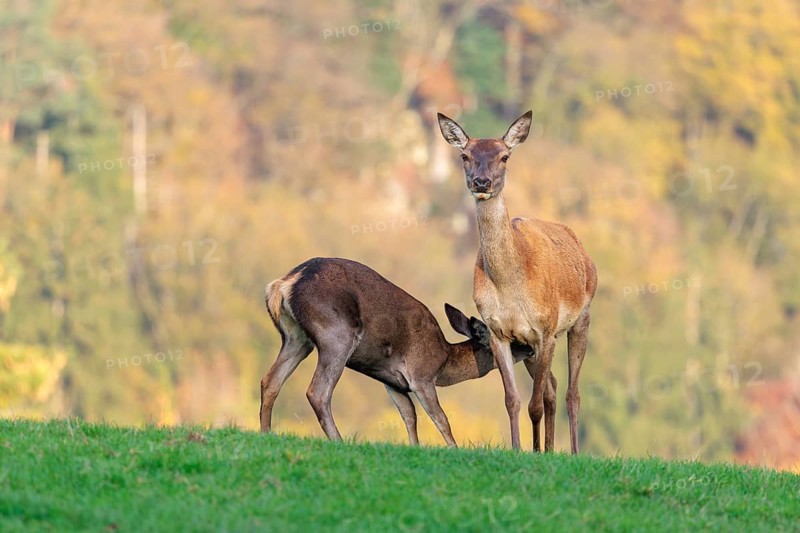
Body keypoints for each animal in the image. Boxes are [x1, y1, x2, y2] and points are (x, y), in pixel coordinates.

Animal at [259, 257, 536, 446]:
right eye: (509, 340)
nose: (531, 347)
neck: (443, 361)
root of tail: (283, 284)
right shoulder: (421, 375)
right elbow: (441, 419)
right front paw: (454, 449)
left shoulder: (392, 382)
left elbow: (409, 416)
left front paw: (416, 447)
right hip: (337, 334)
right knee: (317, 392)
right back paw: (338, 440)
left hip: (296, 338)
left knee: (270, 381)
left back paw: (265, 433)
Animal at [437, 111, 598, 453]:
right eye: (465, 155)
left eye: (504, 156)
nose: (481, 182)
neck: (510, 285)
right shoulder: (500, 332)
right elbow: (512, 400)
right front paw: (519, 448)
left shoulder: (545, 331)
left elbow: (535, 404)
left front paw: (535, 451)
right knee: (552, 387)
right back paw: (548, 448)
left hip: (582, 318)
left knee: (571, 393)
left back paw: (572, 451)